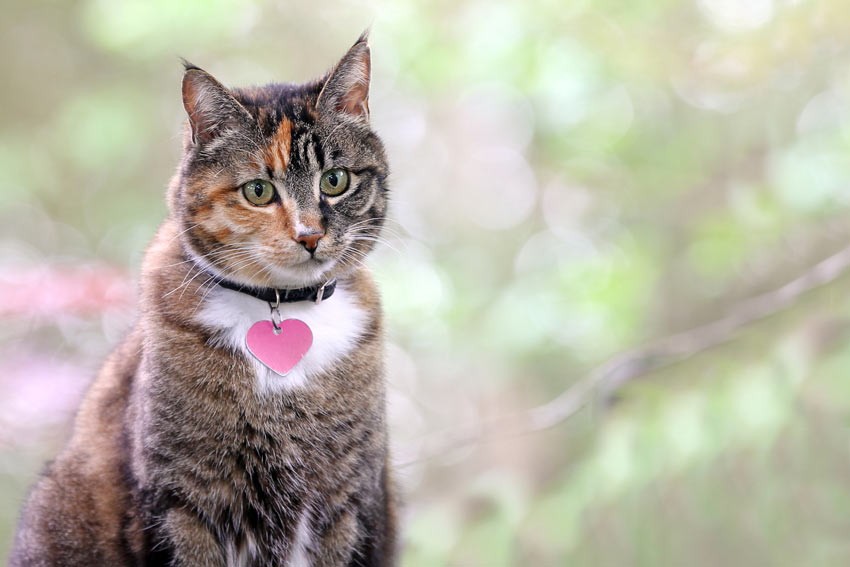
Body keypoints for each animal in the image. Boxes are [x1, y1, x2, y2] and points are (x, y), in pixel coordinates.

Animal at [9, 32, 396, 567]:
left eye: (335, 180)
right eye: (258, 191)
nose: (310, 236)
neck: (280, 305)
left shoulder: (349, 504)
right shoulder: (179, 502)